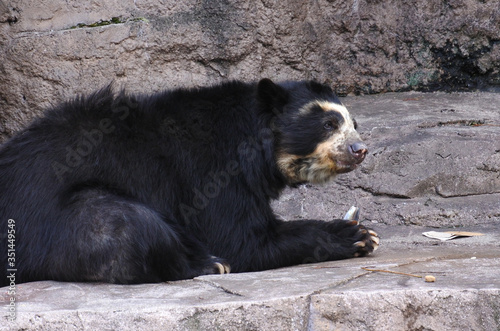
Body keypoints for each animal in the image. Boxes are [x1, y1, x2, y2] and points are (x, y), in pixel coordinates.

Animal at [0, 79, 376, 286]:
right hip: (59, 222)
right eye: (328, 124)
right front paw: (356, 235)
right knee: (127, 225)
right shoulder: (212, 170)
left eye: (353, 124)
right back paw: (208, 263)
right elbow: (242, 238)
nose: (360, 150)